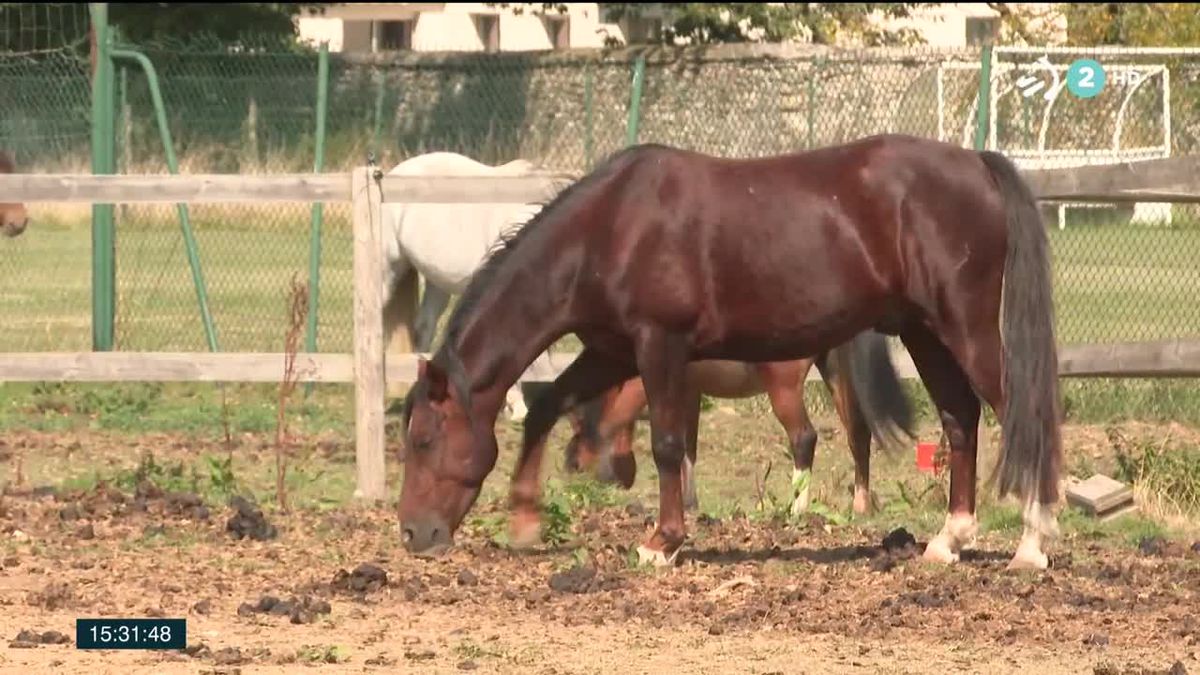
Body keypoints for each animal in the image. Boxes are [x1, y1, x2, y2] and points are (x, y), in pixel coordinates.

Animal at [556, 331, 912, 521]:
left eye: (576, 462)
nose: (572, 469)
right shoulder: (691, 392)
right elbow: (689, 448)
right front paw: (690, 503)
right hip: (835, 373)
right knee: (858, 437)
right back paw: (861, 505)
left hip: (784, 390)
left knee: (804, 438)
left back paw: (796, 508)